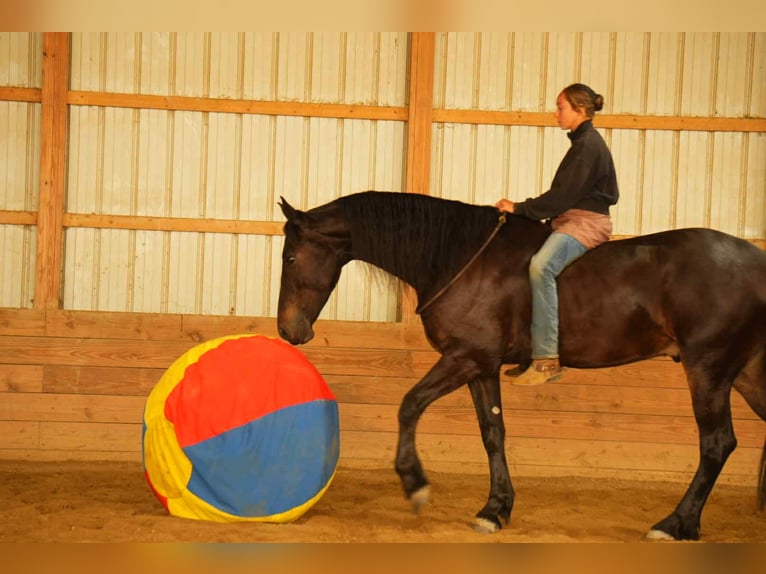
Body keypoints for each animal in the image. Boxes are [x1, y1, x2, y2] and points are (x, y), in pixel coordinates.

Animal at [276, 190, 766, 541]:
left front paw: (415, 484)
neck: (459, 257)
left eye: (290, 257)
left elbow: (409, 405)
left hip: (709, 370)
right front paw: (495, 509)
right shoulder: (482, 366)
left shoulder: (464, 356)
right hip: (745, 374)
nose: (288, 331)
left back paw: (675, 524)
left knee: (716, 444)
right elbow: (493, 432)